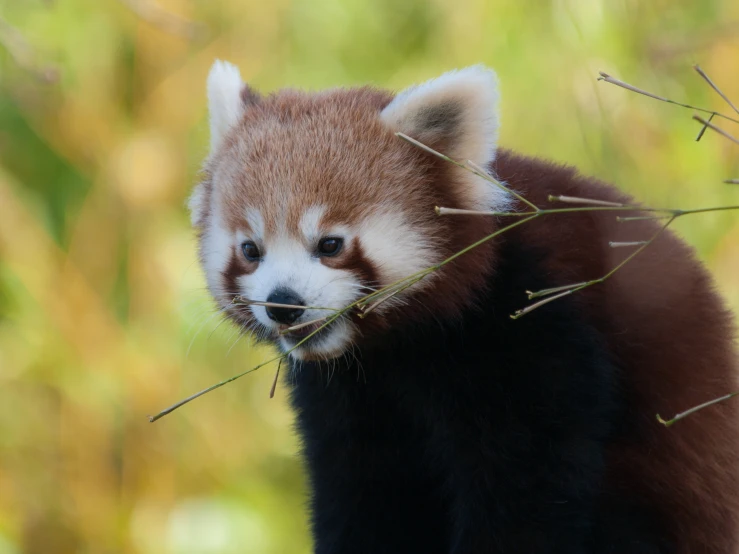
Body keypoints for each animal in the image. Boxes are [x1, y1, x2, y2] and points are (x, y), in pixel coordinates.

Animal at [189, 61, 739, 552]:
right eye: (250, 250)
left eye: (330, 244)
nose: (283, 304)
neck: (401, 349)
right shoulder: (349, 400)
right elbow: (367, 495)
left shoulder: (537, 328)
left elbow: (530, 491)